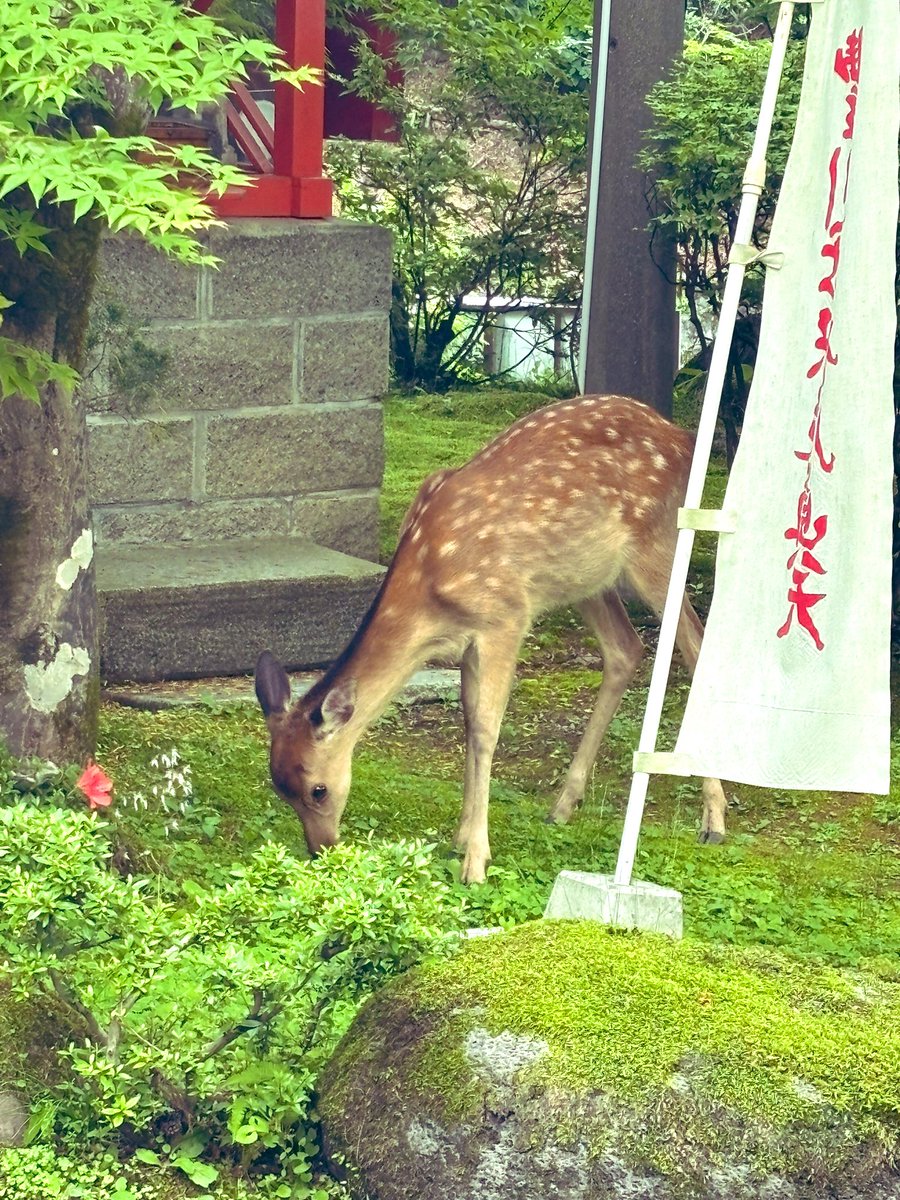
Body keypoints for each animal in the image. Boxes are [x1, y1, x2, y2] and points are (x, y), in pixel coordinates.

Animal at [255, 393, 727, 884]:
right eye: (280, 789)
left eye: (318, 790)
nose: (321, 850)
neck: (430, 592)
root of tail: (683, 438)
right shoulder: (467, 640)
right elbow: (467, 720)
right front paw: (461, 837)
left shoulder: (504, 617)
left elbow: (485, 728)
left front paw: (476, 861)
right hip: (584, 577)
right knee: (626, 648)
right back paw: (564, 804)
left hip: (659, 544)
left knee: (695, 643)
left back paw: (713, 819)